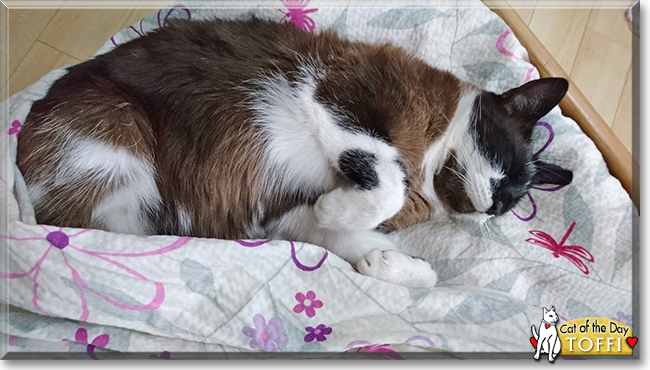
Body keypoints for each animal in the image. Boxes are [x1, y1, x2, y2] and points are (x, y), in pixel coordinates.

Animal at [16, 15, 568, 290]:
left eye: (512, 205)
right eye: (508, 172)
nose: (493, 207)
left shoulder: (282, 217)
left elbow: (386, 255)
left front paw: (391, 265)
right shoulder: (336, 98)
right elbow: (383, 185)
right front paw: (344, 209)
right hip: (118, 140)